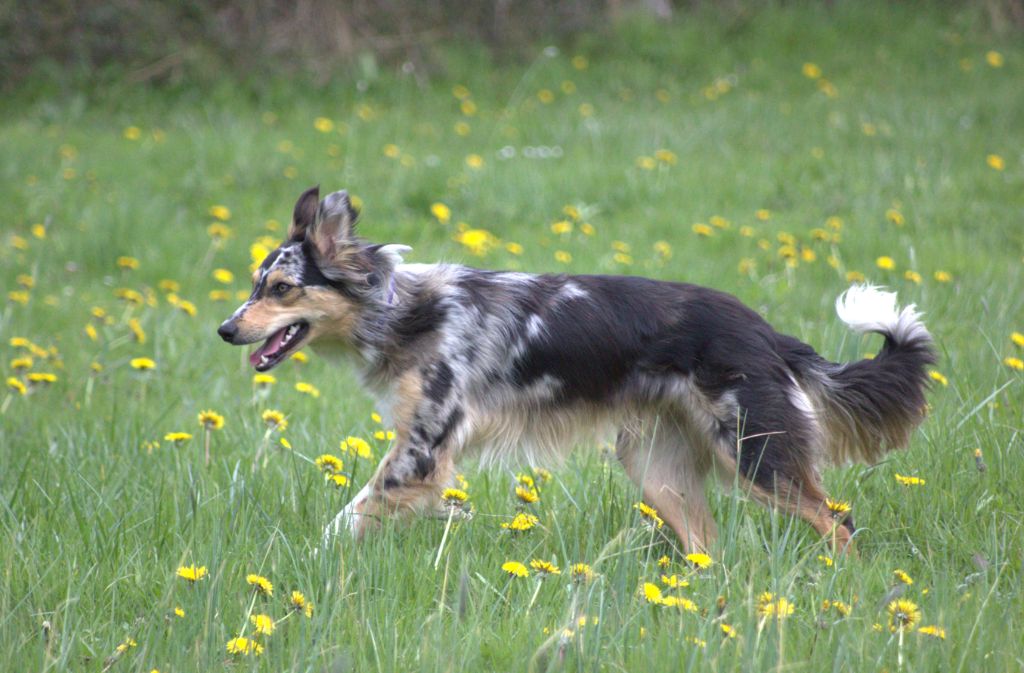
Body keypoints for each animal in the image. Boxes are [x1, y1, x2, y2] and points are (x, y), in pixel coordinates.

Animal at [218, 186, 937, 553]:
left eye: (281, 288)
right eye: (254, 285)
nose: (225, 330)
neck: (405, 310)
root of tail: (764, 331)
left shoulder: (420, 454)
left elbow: (345, 519)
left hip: (756, 455)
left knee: (838, 522)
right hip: (657, 471)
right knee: (709, 549)